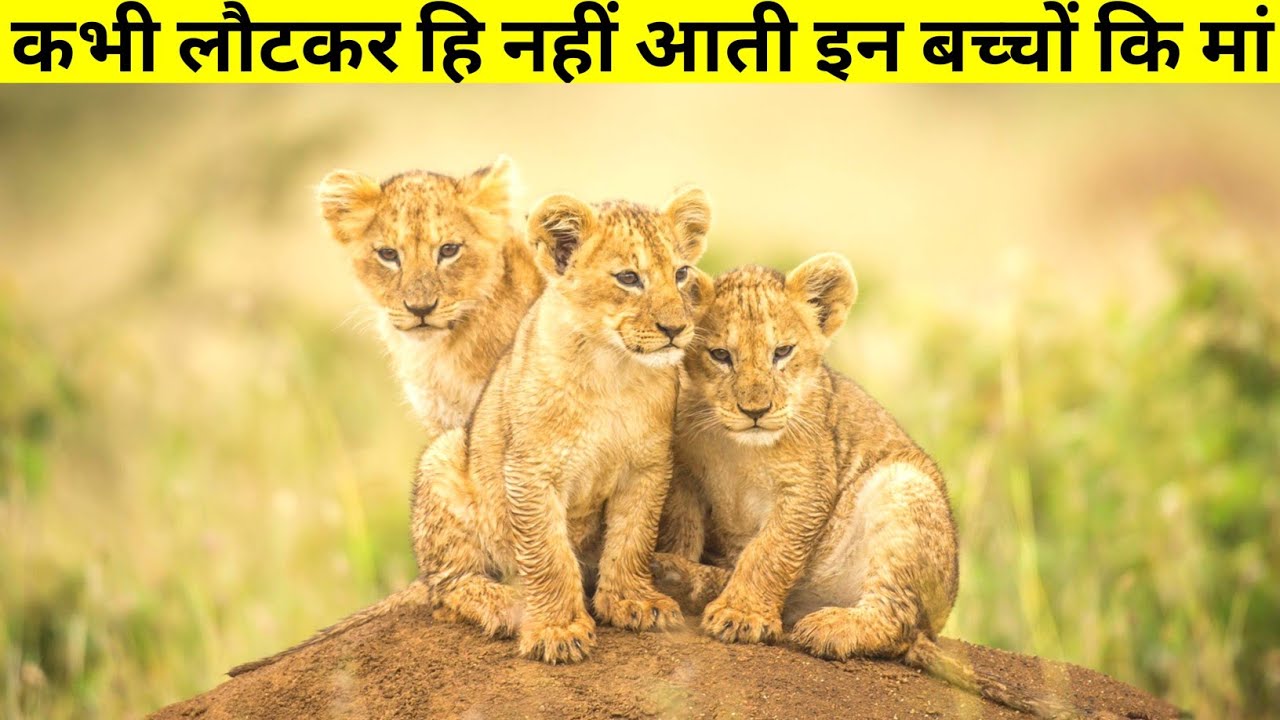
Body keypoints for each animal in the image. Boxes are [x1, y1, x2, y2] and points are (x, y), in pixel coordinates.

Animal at [230, 186, 713, 674]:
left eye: (681, 273)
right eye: (629, 278)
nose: (676, 329)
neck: (613, 369)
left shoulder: (647, 467)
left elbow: (632, 540)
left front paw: (633, 603)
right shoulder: (529, 471)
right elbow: (548, 556)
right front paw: (556, 630)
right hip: (444, 459)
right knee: (446, 588)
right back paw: (506, 605)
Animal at [653, 255, 1094, 719]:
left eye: (782, 352)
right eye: (721, 355)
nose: (755, 411)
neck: (738, 448)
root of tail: (931, 633)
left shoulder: (809, 485)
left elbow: (771, 551)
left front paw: (742, 615)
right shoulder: (685, 476)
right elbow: (684, 532)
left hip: (904, 487)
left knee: (896, 623)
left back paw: (831, 627)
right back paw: (675, 577)